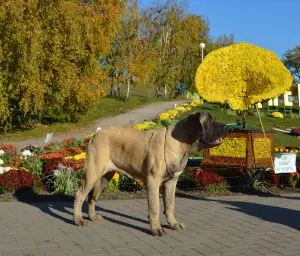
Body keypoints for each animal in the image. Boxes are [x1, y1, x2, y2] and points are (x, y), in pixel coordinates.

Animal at [73, 111, 227, 236]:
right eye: (209, 122)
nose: (227, 127)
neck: (181, 143)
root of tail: (96, 134)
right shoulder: (153, 181)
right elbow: (155, 207)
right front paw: (156, 229)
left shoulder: (171, 182)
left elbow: (170, 204)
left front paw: (173, 224)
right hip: (93, 173)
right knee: (80, 194)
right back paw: (78, 220)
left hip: (105, 177)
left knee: (92, 196)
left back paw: (92, 216)